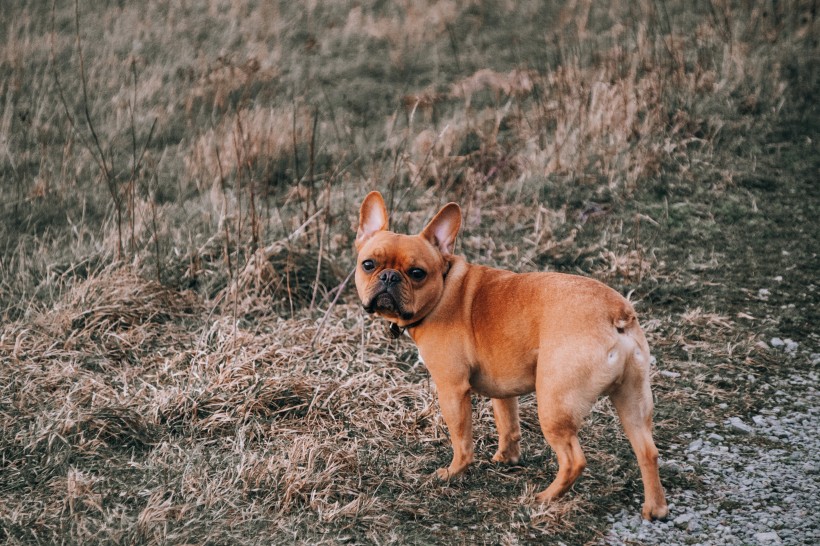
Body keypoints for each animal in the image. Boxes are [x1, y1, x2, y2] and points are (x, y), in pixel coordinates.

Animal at [352, 191, 668, 520]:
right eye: (368, 264)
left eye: (416, 273)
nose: (389, 277)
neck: (445, 286)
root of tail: (616, 314)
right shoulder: (502, 388)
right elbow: (508, 422)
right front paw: (507, 458)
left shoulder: (452, 389)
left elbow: (462, 439)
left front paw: (453, 473)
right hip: (632, 399)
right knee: (647, 451)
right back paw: (655, 508)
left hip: (554, 403)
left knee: (573, 459)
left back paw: (544, 498)